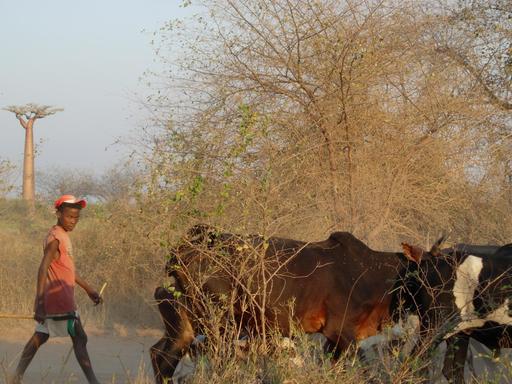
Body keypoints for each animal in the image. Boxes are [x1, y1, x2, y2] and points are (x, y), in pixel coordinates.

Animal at [150, 224, 410, 382]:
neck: (371, 272)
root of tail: (184, 250)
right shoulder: (342, 333)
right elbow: (364, 368)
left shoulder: (335, 340)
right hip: (220, 324)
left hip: (186, 326)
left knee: (162, 356)